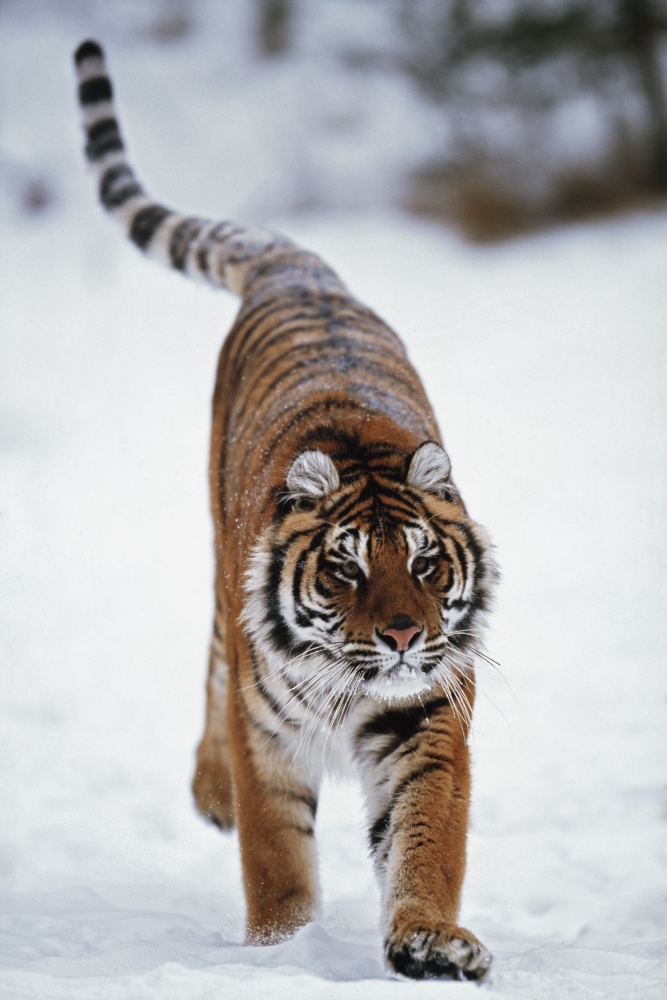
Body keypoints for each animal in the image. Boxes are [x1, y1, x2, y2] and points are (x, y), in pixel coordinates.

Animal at [74, 40, 498, 981]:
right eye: (344, 569)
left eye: (425, 565)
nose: (404, 636)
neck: (354, 679)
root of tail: (301, 270)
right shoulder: (265, 732)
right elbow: (275, 855)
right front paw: (281, 952)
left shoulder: (427, 716)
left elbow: (427, 839)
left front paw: (429, 941)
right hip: (216, 572)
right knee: (208, 665)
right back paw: (210, 793)